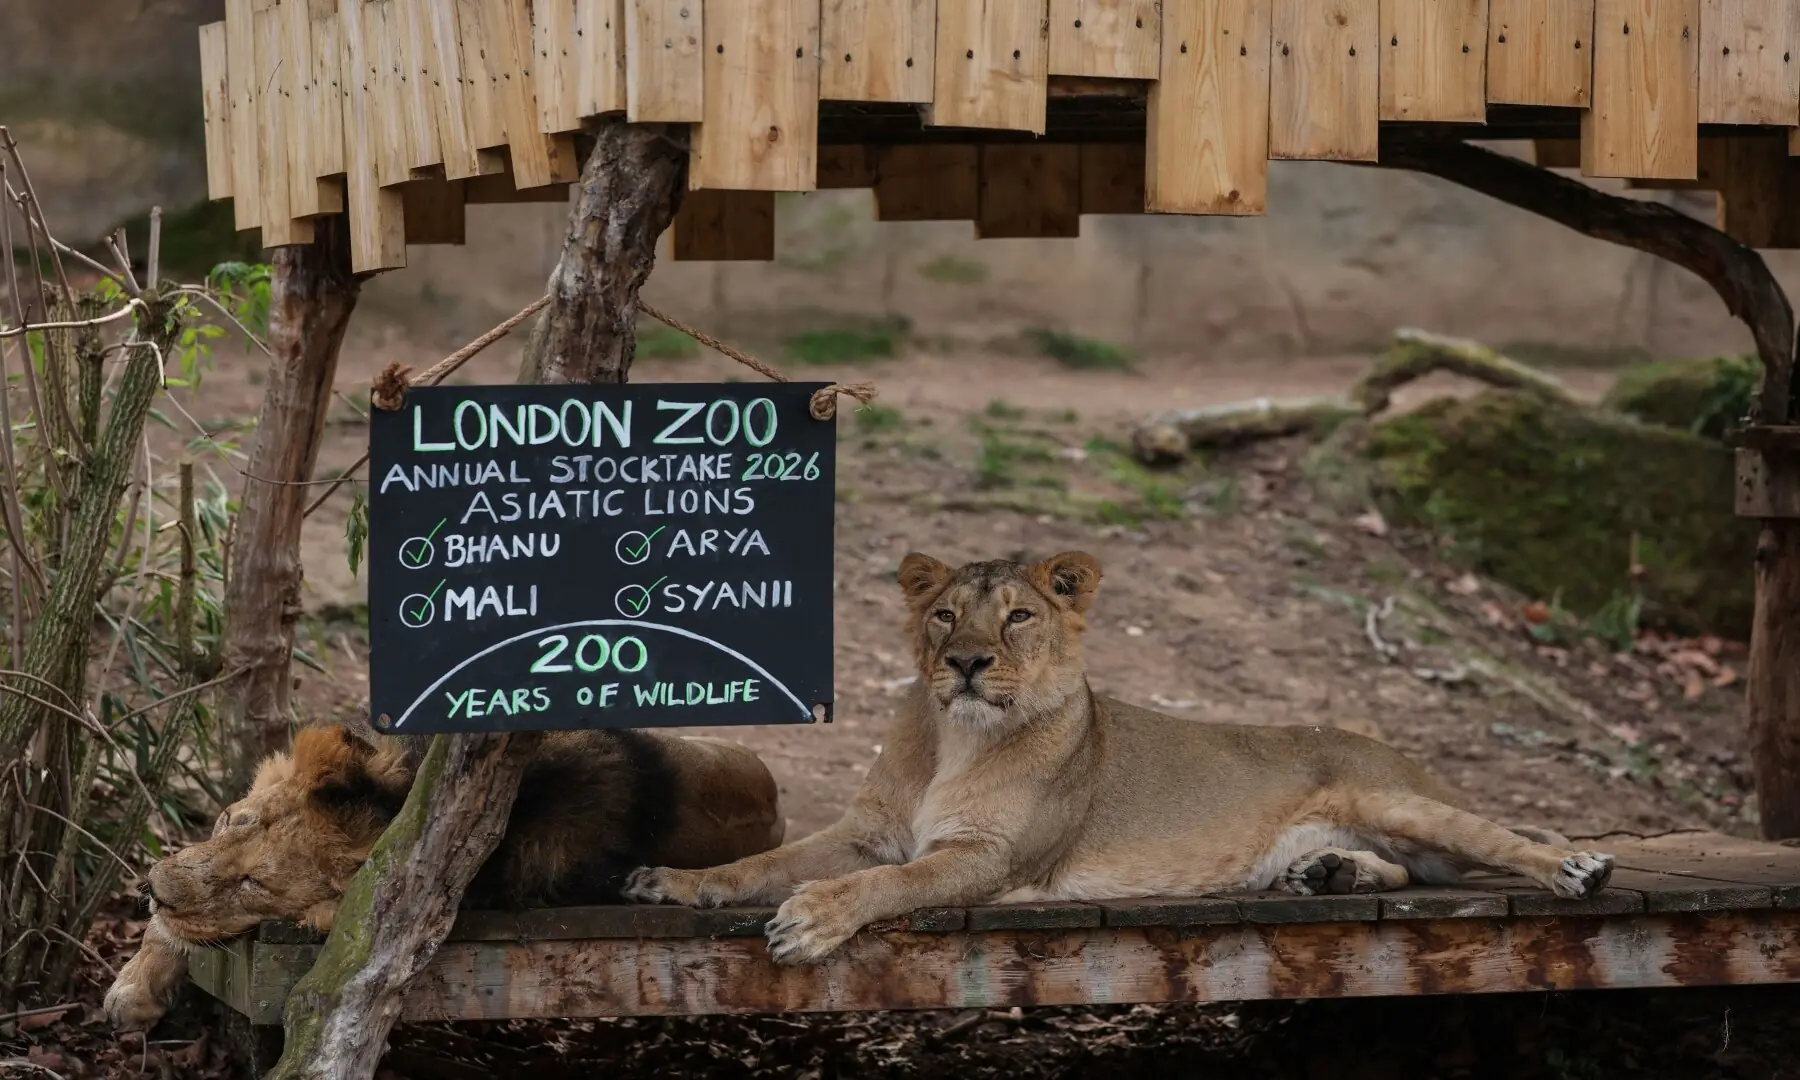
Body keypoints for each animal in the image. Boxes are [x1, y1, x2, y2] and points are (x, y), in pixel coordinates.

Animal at [624, 550, 1615, 964]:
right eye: (945, 615)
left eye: (1019, 617)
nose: (967, 662)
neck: (954, 736)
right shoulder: (871, 829)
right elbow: (767, 862)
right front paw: (674, 882)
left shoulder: (988, 858)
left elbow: (886, 885)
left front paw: (813, 920)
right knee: (1415, 871)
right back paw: (1327, 873)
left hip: (1399, 801)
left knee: (1505, 839)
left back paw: (1578, 865)